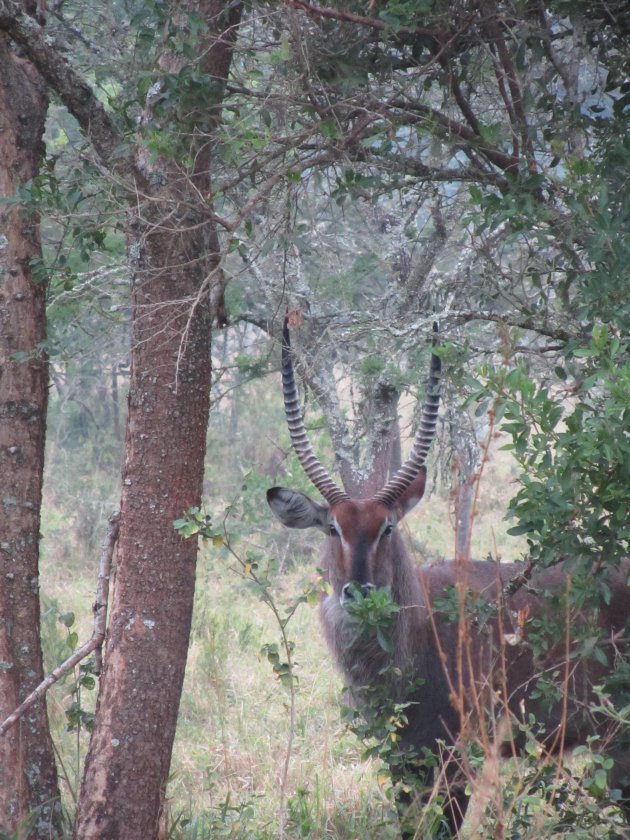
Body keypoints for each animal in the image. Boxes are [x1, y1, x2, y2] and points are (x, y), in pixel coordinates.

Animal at [266, 316, 630, 832]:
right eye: (333, 527)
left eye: (388, 527)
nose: (359, 594)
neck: (416, 631)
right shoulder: (403, 761)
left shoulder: (452, 758)